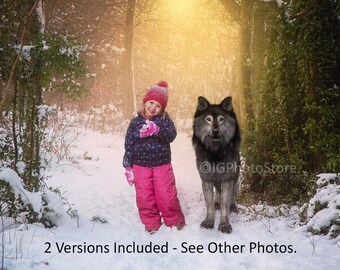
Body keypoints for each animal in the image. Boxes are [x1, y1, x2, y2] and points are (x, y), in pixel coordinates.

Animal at [191, 96, 242, 233]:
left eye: (221, 119)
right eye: (208, 119)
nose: (215, 131)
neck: (215, 151)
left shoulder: (227, 178)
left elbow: (225, 204)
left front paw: (224, 224)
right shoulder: (207, 179)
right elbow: (209, 204)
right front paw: (209, 221)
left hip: (235, 177)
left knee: (232, 193)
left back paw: (233, 206)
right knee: (218, 191)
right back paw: (217, 203)